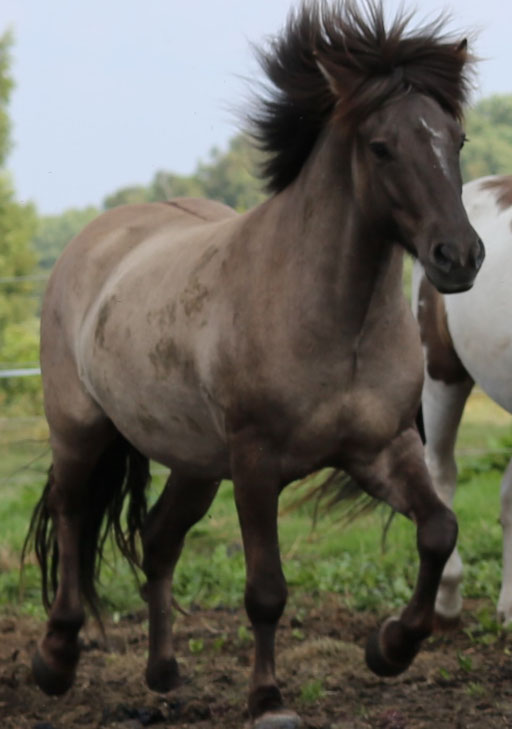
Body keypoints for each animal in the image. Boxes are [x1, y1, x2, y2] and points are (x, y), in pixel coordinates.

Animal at [28, 2, 484, 724]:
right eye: (380, 147)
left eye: (456, 140)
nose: (459, 257)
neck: (334, 321)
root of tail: (92, 241)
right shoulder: (256, 464)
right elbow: (266, 587)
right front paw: (268, 698)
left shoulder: (381, 448)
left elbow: (439, 529)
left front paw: (390, 647)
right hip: (80, 430)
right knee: (73, 518)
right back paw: (56, 658)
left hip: (194, 461)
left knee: (158, 537)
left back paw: (163, 672)